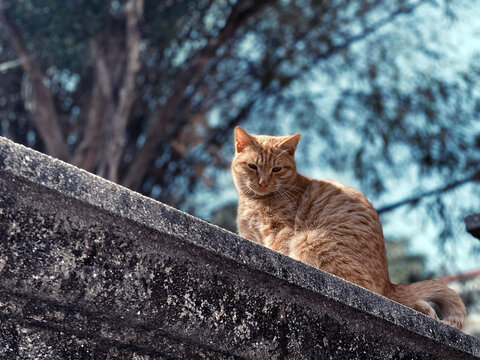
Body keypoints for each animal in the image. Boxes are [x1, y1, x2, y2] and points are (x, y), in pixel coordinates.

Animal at [232, 126, 464, 330]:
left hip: (307, 240)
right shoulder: (250, 235)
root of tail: (388, 282)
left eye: (277, 169)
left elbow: (278, 249)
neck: (255, 201)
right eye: (252, 166)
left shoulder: (282, 231)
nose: (263, 183)